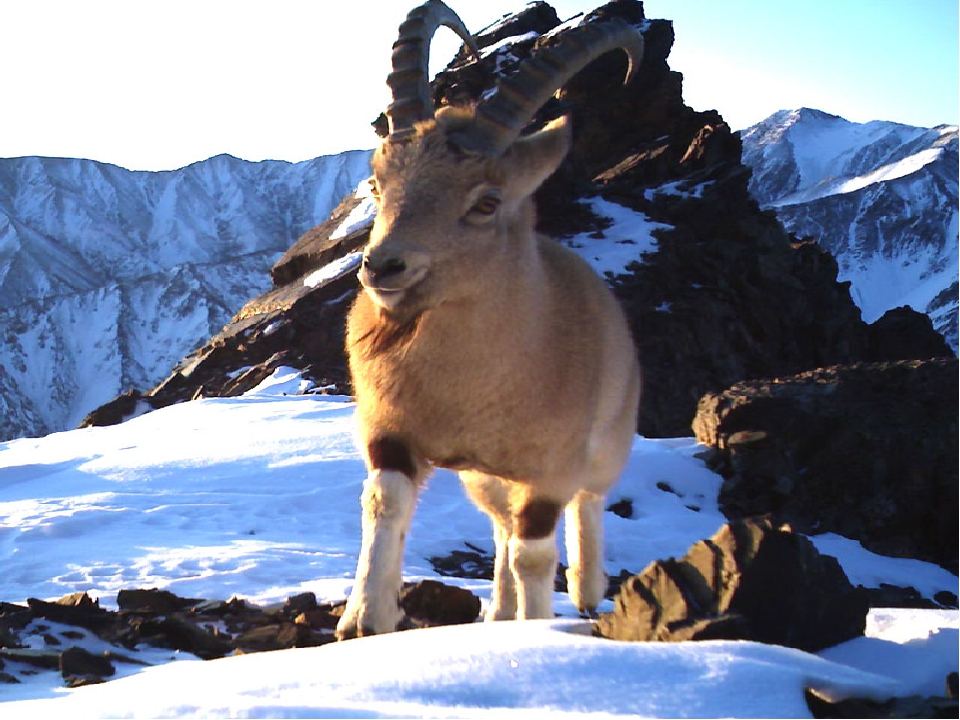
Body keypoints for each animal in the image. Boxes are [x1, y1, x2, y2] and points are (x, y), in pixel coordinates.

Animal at [334, 0, 640, 640]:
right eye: (377, 182)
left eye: (486, 203)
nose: (383, 267)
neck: (468, 389)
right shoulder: (391, 430)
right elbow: (385, 502)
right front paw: (364, 620)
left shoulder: (551, 467)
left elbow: (536, 553)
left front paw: (537, 629)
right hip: (483, 478)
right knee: (500, 527)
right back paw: (498, 611)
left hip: (608, 442)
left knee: (588, 503)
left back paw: (586, 589)